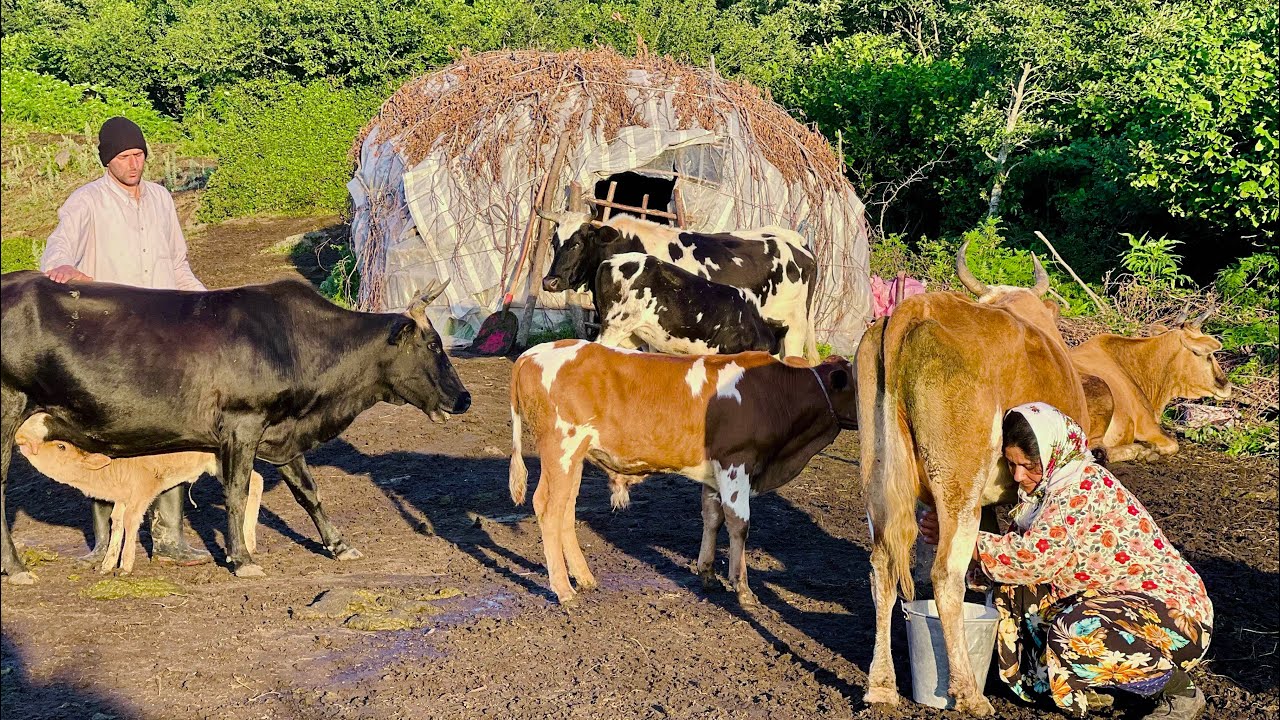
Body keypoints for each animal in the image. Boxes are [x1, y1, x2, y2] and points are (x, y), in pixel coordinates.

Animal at [14, 413, 265, 575]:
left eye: (61, 446)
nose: (23, 440)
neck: (112, 469)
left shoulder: (144, 490)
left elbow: (130, 520)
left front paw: (125, 566)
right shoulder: (122, 498)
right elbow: (115, 522)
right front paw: (107, 565)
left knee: (250, 484)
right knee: (255, 481)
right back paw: (249, 543)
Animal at [507, 340, 856, 605]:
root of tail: (530, 354)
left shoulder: (715, 472)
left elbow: (712, 518)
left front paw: (708, 574)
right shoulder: (736, 461)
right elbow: (738, 524)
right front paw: (743, 589)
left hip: (574, 459)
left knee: (566, 510)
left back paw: (583, 577)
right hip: (561, 449)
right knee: (548, 508)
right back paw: (564, 590)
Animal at [856, 245, 1088, 715]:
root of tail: (912, 310)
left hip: (879, 479)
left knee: (883, 565)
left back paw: (882, 685)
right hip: (959, 485)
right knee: (946, 573)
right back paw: (967, 692)